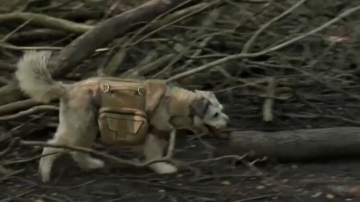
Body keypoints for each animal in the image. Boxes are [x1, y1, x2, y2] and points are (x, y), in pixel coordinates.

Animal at [15, 51, 229, 183]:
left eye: (221, 109)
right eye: (215, 114)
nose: (227, 121)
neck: (176, 103)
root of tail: (66, 88)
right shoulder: (154, 134)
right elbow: (154, 155)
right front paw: (163, 168)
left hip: (88, 127)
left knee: (78, 150)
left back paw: (91, 164)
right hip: (78, 125)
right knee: (51, 146)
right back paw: (45, 173)